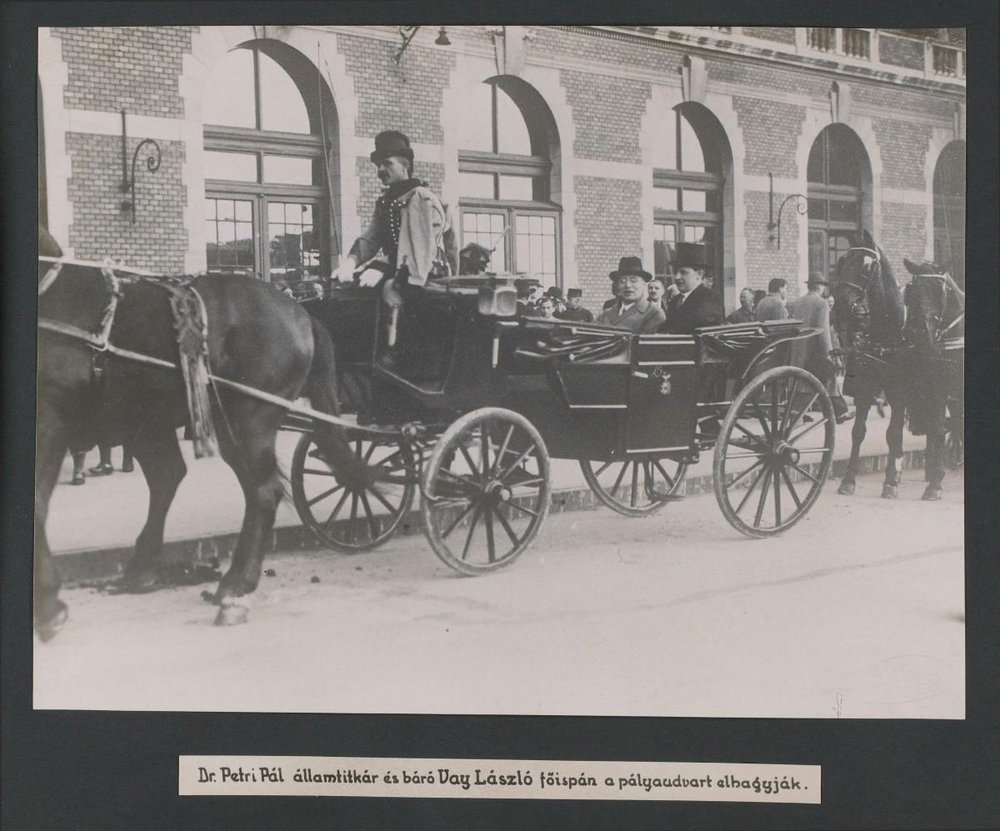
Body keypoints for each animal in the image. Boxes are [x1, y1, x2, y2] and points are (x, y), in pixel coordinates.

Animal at [35, 226, 375, 639]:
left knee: (262, 492)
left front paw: (49, 605)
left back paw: (236, 588)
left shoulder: (51, 418)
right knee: (174, 477)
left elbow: (37, 502)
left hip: (247, 419)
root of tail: (301, 312)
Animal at [830, 230, 909, 499]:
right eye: (841, 261)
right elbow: (858, 432)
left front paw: (890, 482)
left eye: (867, 267)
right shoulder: (865, 387)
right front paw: (848, 480)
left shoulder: (899, 390)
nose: (840, 306)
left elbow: (893, 433)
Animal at [899, 258, 965, 500]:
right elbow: (937, 427)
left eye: (940, 290)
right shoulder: (937, 389)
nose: (923, 336)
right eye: (912, 290)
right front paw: (935, 483)